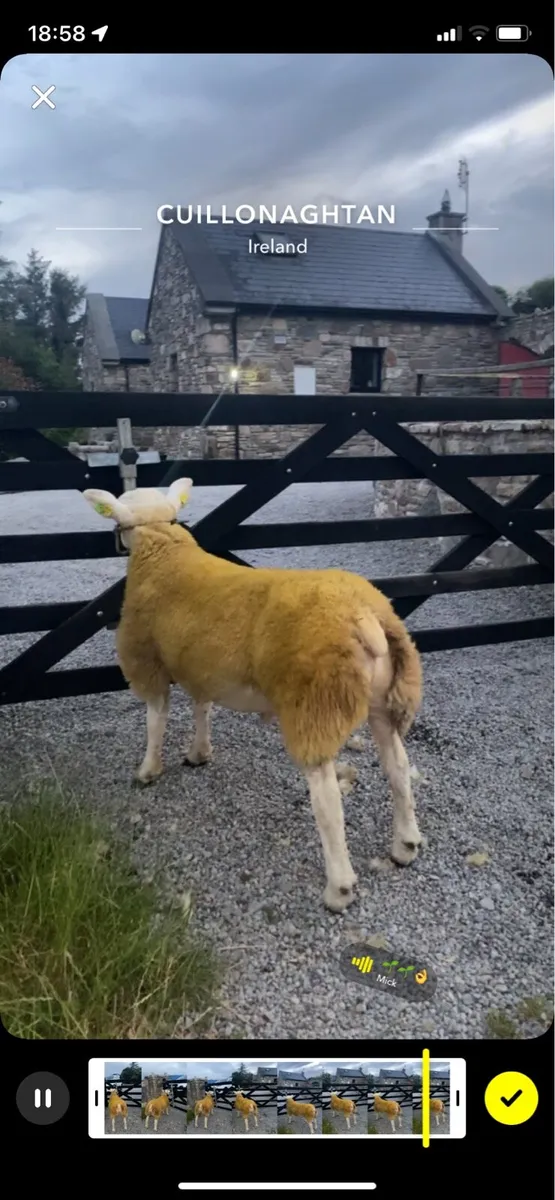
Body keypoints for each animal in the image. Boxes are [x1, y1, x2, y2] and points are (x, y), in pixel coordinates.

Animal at [83, 479, 423, 913]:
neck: (163, 549)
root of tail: (367, 615)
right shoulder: (201, 664)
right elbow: (203, 708)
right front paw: (199, 753)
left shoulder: (148, 661)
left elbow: (155, 717)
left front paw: (148, 770)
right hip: (386, 697)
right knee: (398, 766)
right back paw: (405, 845)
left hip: (315, 703)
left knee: (327, 798)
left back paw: (339, 888)